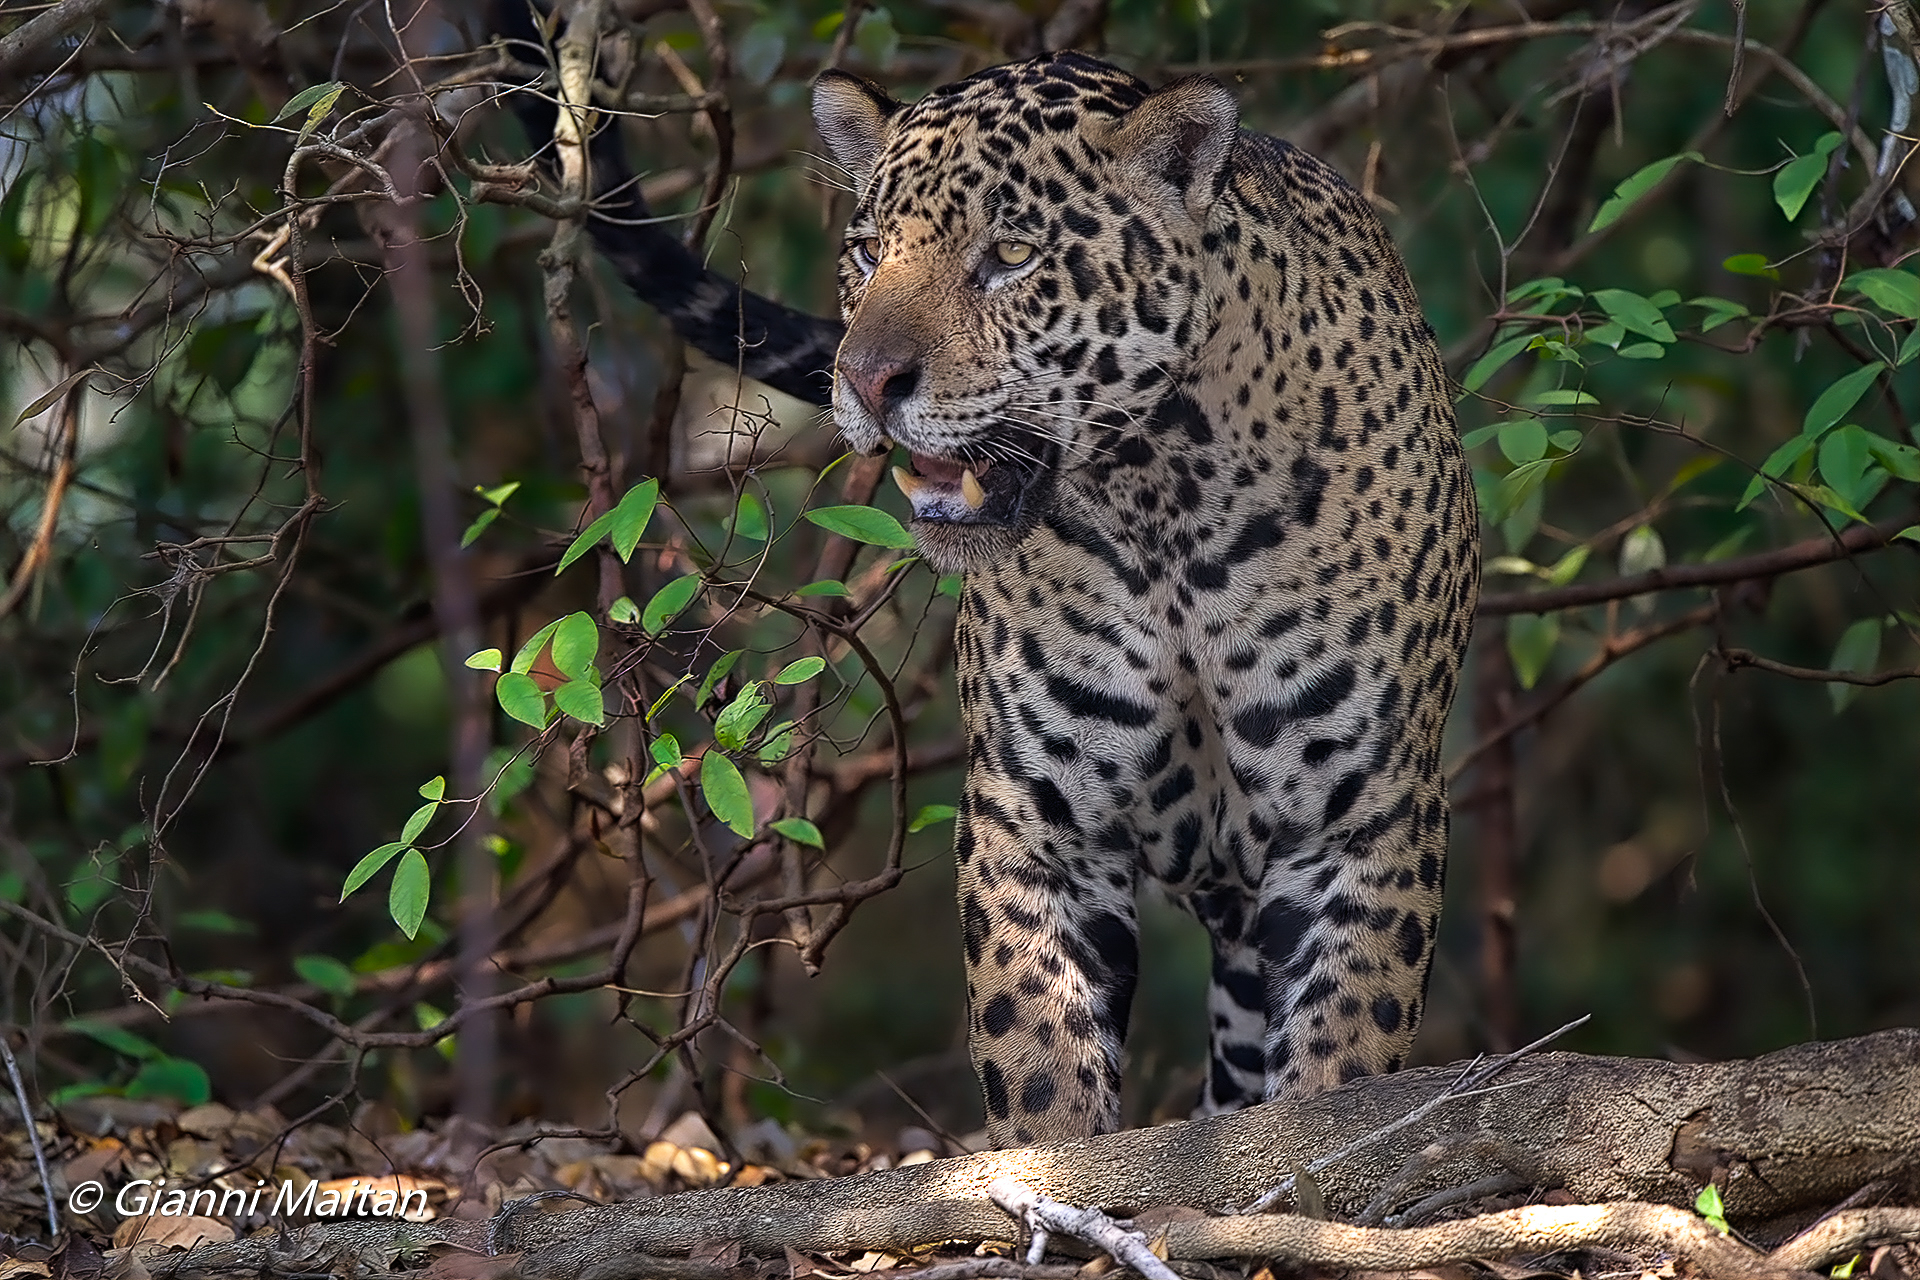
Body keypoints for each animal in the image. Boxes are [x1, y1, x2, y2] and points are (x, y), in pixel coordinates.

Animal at [502, 21, 1479, 1148]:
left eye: (1010, 256)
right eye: (869, 250)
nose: (865, 379)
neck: (1166, 506)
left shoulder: (1366, 822)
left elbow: (1342, 1057)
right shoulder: (1034, 818)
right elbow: (1039, 1053)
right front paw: (1052, 1173)